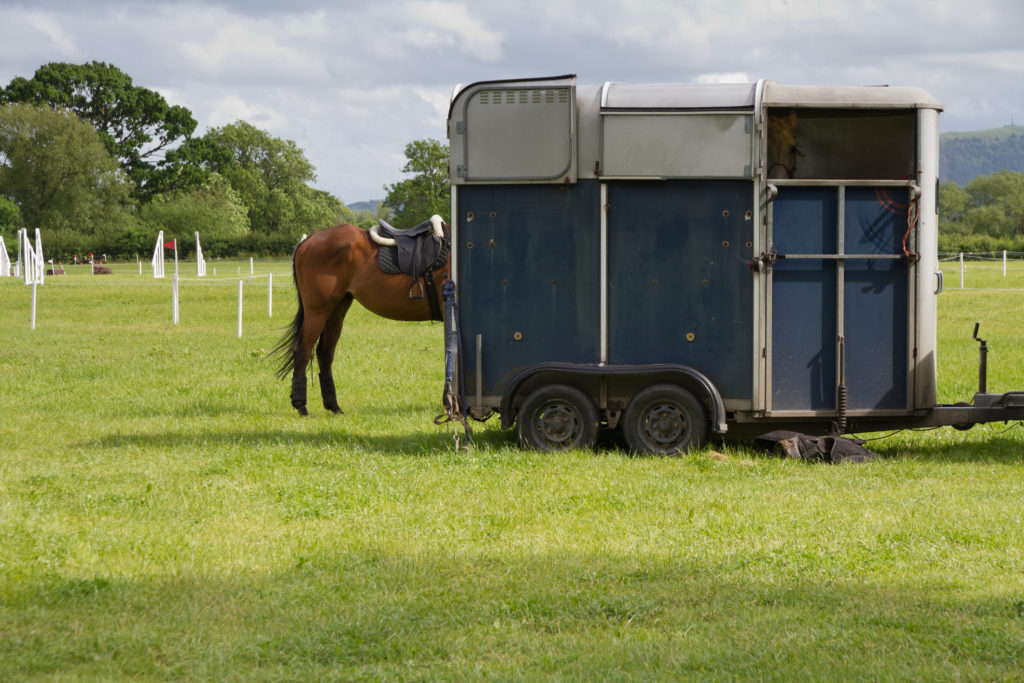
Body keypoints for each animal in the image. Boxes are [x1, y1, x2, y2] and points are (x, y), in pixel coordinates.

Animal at [272, 218, 448, 417]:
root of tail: (308, 240)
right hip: (317, 312)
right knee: (303, 350)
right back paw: (301, 406)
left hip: (336, 312)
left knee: (325, 353)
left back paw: (333, 406)